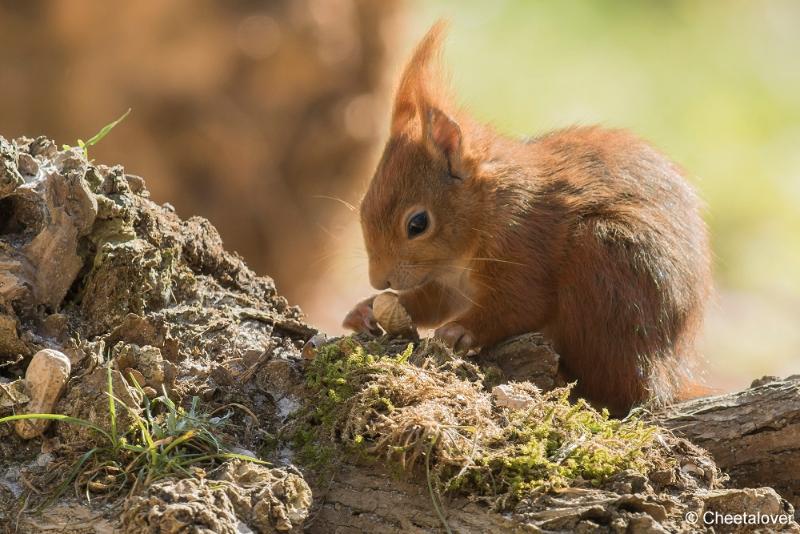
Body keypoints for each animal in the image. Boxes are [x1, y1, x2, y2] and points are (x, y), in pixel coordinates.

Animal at [344, 22, 712, 414]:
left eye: (417, 224)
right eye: (363, 205)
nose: (378, 280)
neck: (488, 210)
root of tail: (667, 376)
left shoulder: (525, 244)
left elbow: (519, 305)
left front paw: (460, 331)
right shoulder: (449, 282)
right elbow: (433, 303)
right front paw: (365, 310)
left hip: (606, 262)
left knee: (617, 389)